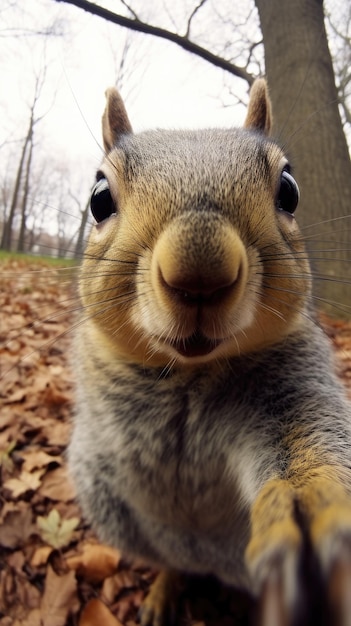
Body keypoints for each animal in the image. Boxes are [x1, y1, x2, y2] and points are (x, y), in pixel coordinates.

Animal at [69, 79, 351, 624]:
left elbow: (306, 440)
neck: (187, 372)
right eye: (99, 199)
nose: (200, 271)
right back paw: (164, 586)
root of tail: (210, 562)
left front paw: (309, 512)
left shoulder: (294, 384)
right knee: (169, 561)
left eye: (289, 190)